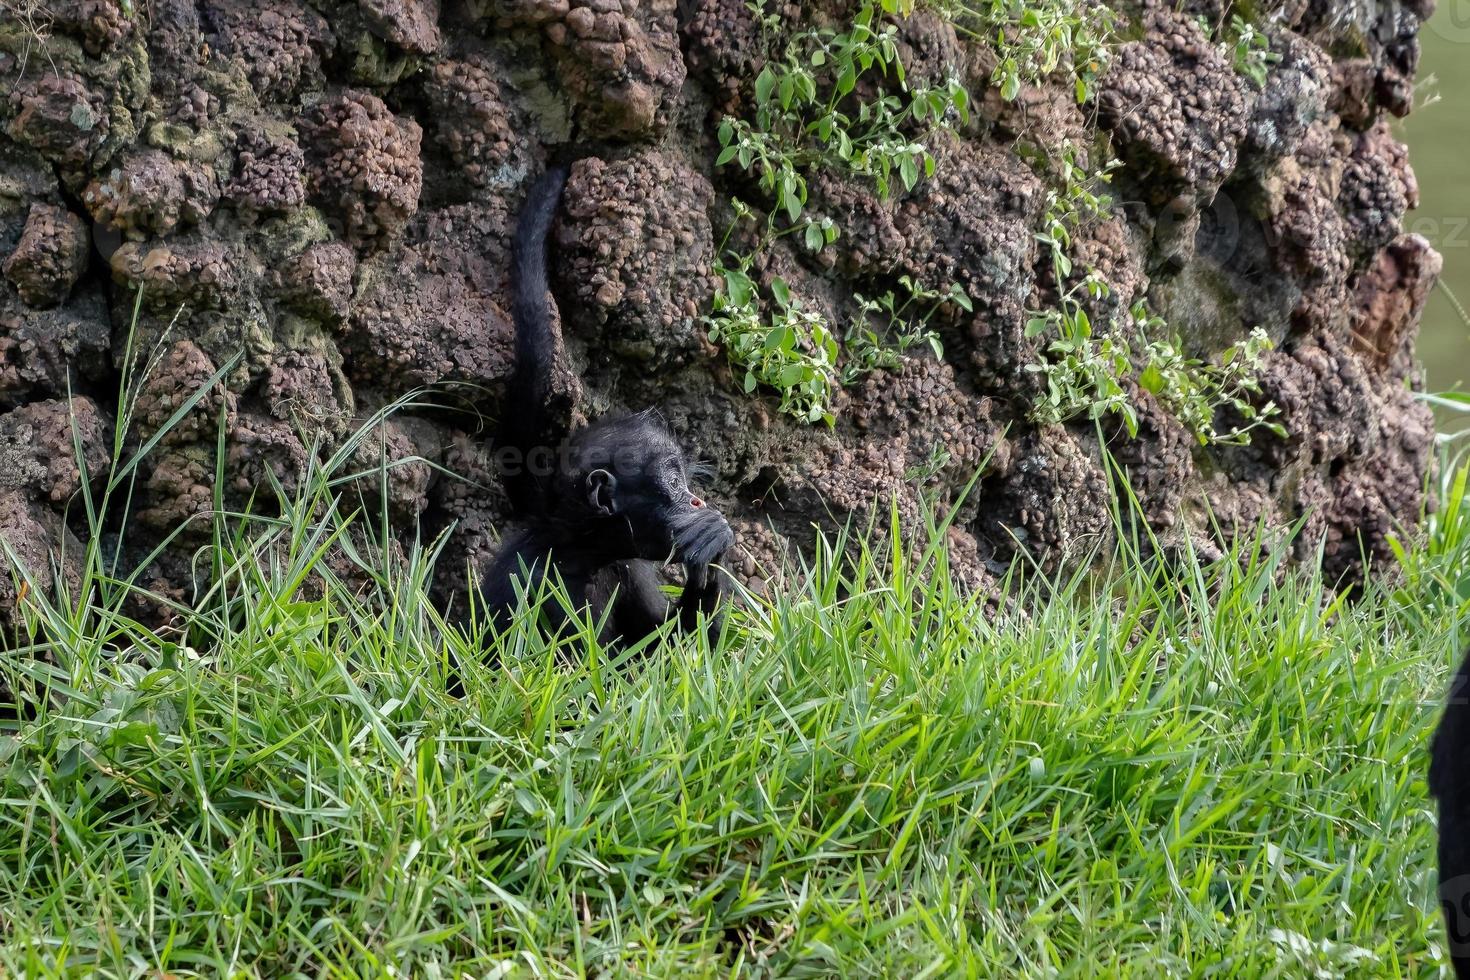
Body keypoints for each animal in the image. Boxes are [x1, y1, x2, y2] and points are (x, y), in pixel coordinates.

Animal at [479, 164, 735, 646]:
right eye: (673, 480)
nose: (695, 500)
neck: (583, 552)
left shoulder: (629, 565)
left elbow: (663, 648)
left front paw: (710, 566)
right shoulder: (535, 581)